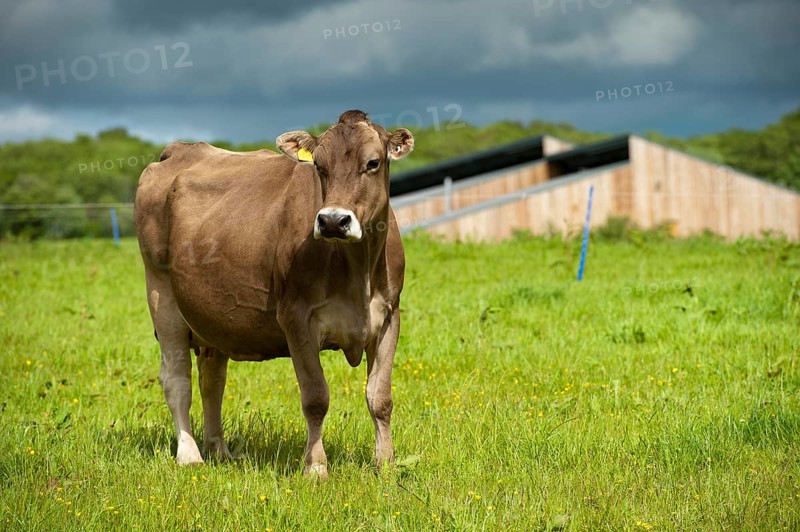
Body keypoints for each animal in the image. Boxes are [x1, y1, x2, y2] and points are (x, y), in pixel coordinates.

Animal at [134, 110, 413, 478]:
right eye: (319, 166)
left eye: (373, 162)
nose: (333, 221)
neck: (357, 270)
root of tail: (180, 149)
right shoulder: (296, 318)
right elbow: (315, 398)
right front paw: (316, 468)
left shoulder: (389, 316)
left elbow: (380, 399)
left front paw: (386, 465)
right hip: (161, 296)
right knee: (177, 381)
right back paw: (190, 454)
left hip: (213, 317)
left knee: (212, 381)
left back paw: (219, 450)